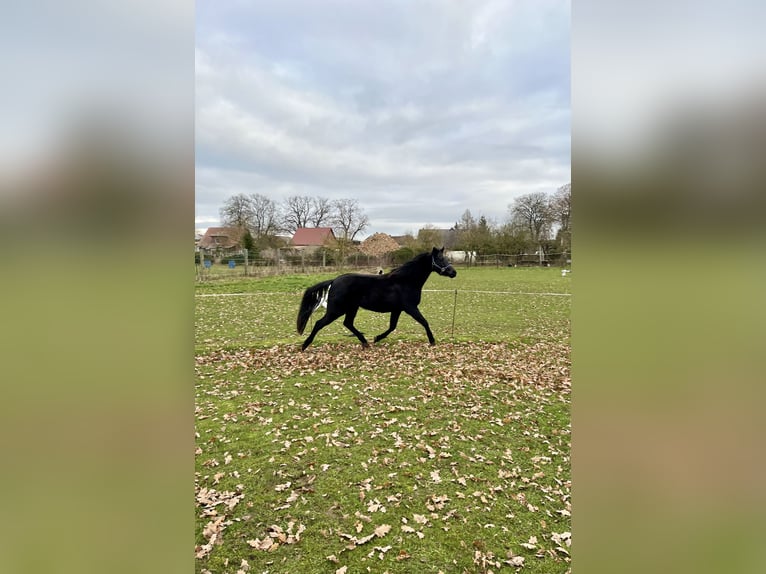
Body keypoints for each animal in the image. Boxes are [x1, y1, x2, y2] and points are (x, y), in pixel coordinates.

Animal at [296, 248, 460, 352]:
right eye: (440, 258)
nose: (453, 272)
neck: (406, 281)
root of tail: (334, 280)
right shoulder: (411, 308)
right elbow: (424, 322)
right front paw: (432, 341)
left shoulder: (397, 310)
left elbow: (392, 327)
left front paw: (376, 338)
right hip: (336, 310)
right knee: (319, 323)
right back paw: (304, 346)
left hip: (352, 308)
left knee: (348, 323)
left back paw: (365, 343)